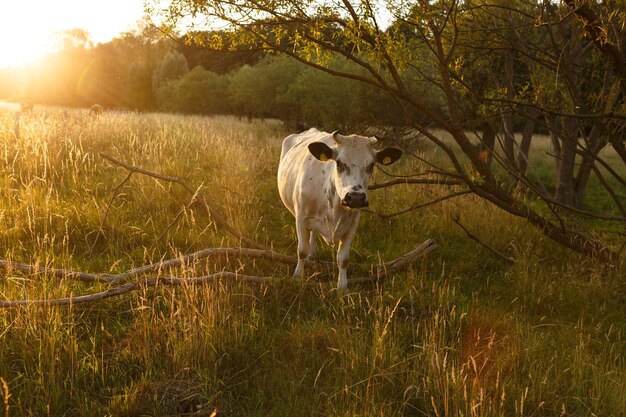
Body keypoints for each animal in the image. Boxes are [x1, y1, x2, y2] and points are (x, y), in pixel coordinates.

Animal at [276, 127, 402, 290]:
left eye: (371, 165)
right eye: (340, 163)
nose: (355, 197)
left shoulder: (353, 224)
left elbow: (343, 258)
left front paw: (342, 286)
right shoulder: (301, 218)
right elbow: (302, 251)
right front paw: (298, 277)